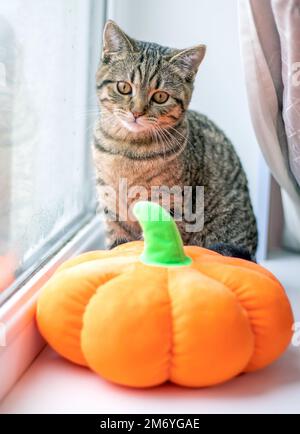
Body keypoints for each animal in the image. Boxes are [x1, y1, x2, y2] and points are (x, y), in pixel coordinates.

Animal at [92, 20, 256, 260]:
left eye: (161, 96)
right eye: (124, 87)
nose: (136, 112)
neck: (128, 149)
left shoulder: (170, 205)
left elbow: (160, 241)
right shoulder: (111, 206)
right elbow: (117, 245)